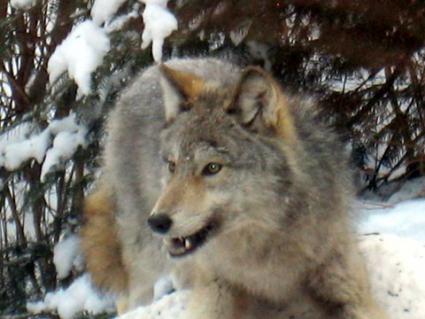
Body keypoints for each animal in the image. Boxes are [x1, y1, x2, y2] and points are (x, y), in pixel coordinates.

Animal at [80, 58, 388, 319]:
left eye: (212, 168)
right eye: (172, 165)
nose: (157, 222)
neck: (263, 254)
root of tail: (141, 78)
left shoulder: (344, 282)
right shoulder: (217, 288)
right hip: (146, 252)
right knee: (130, 297)